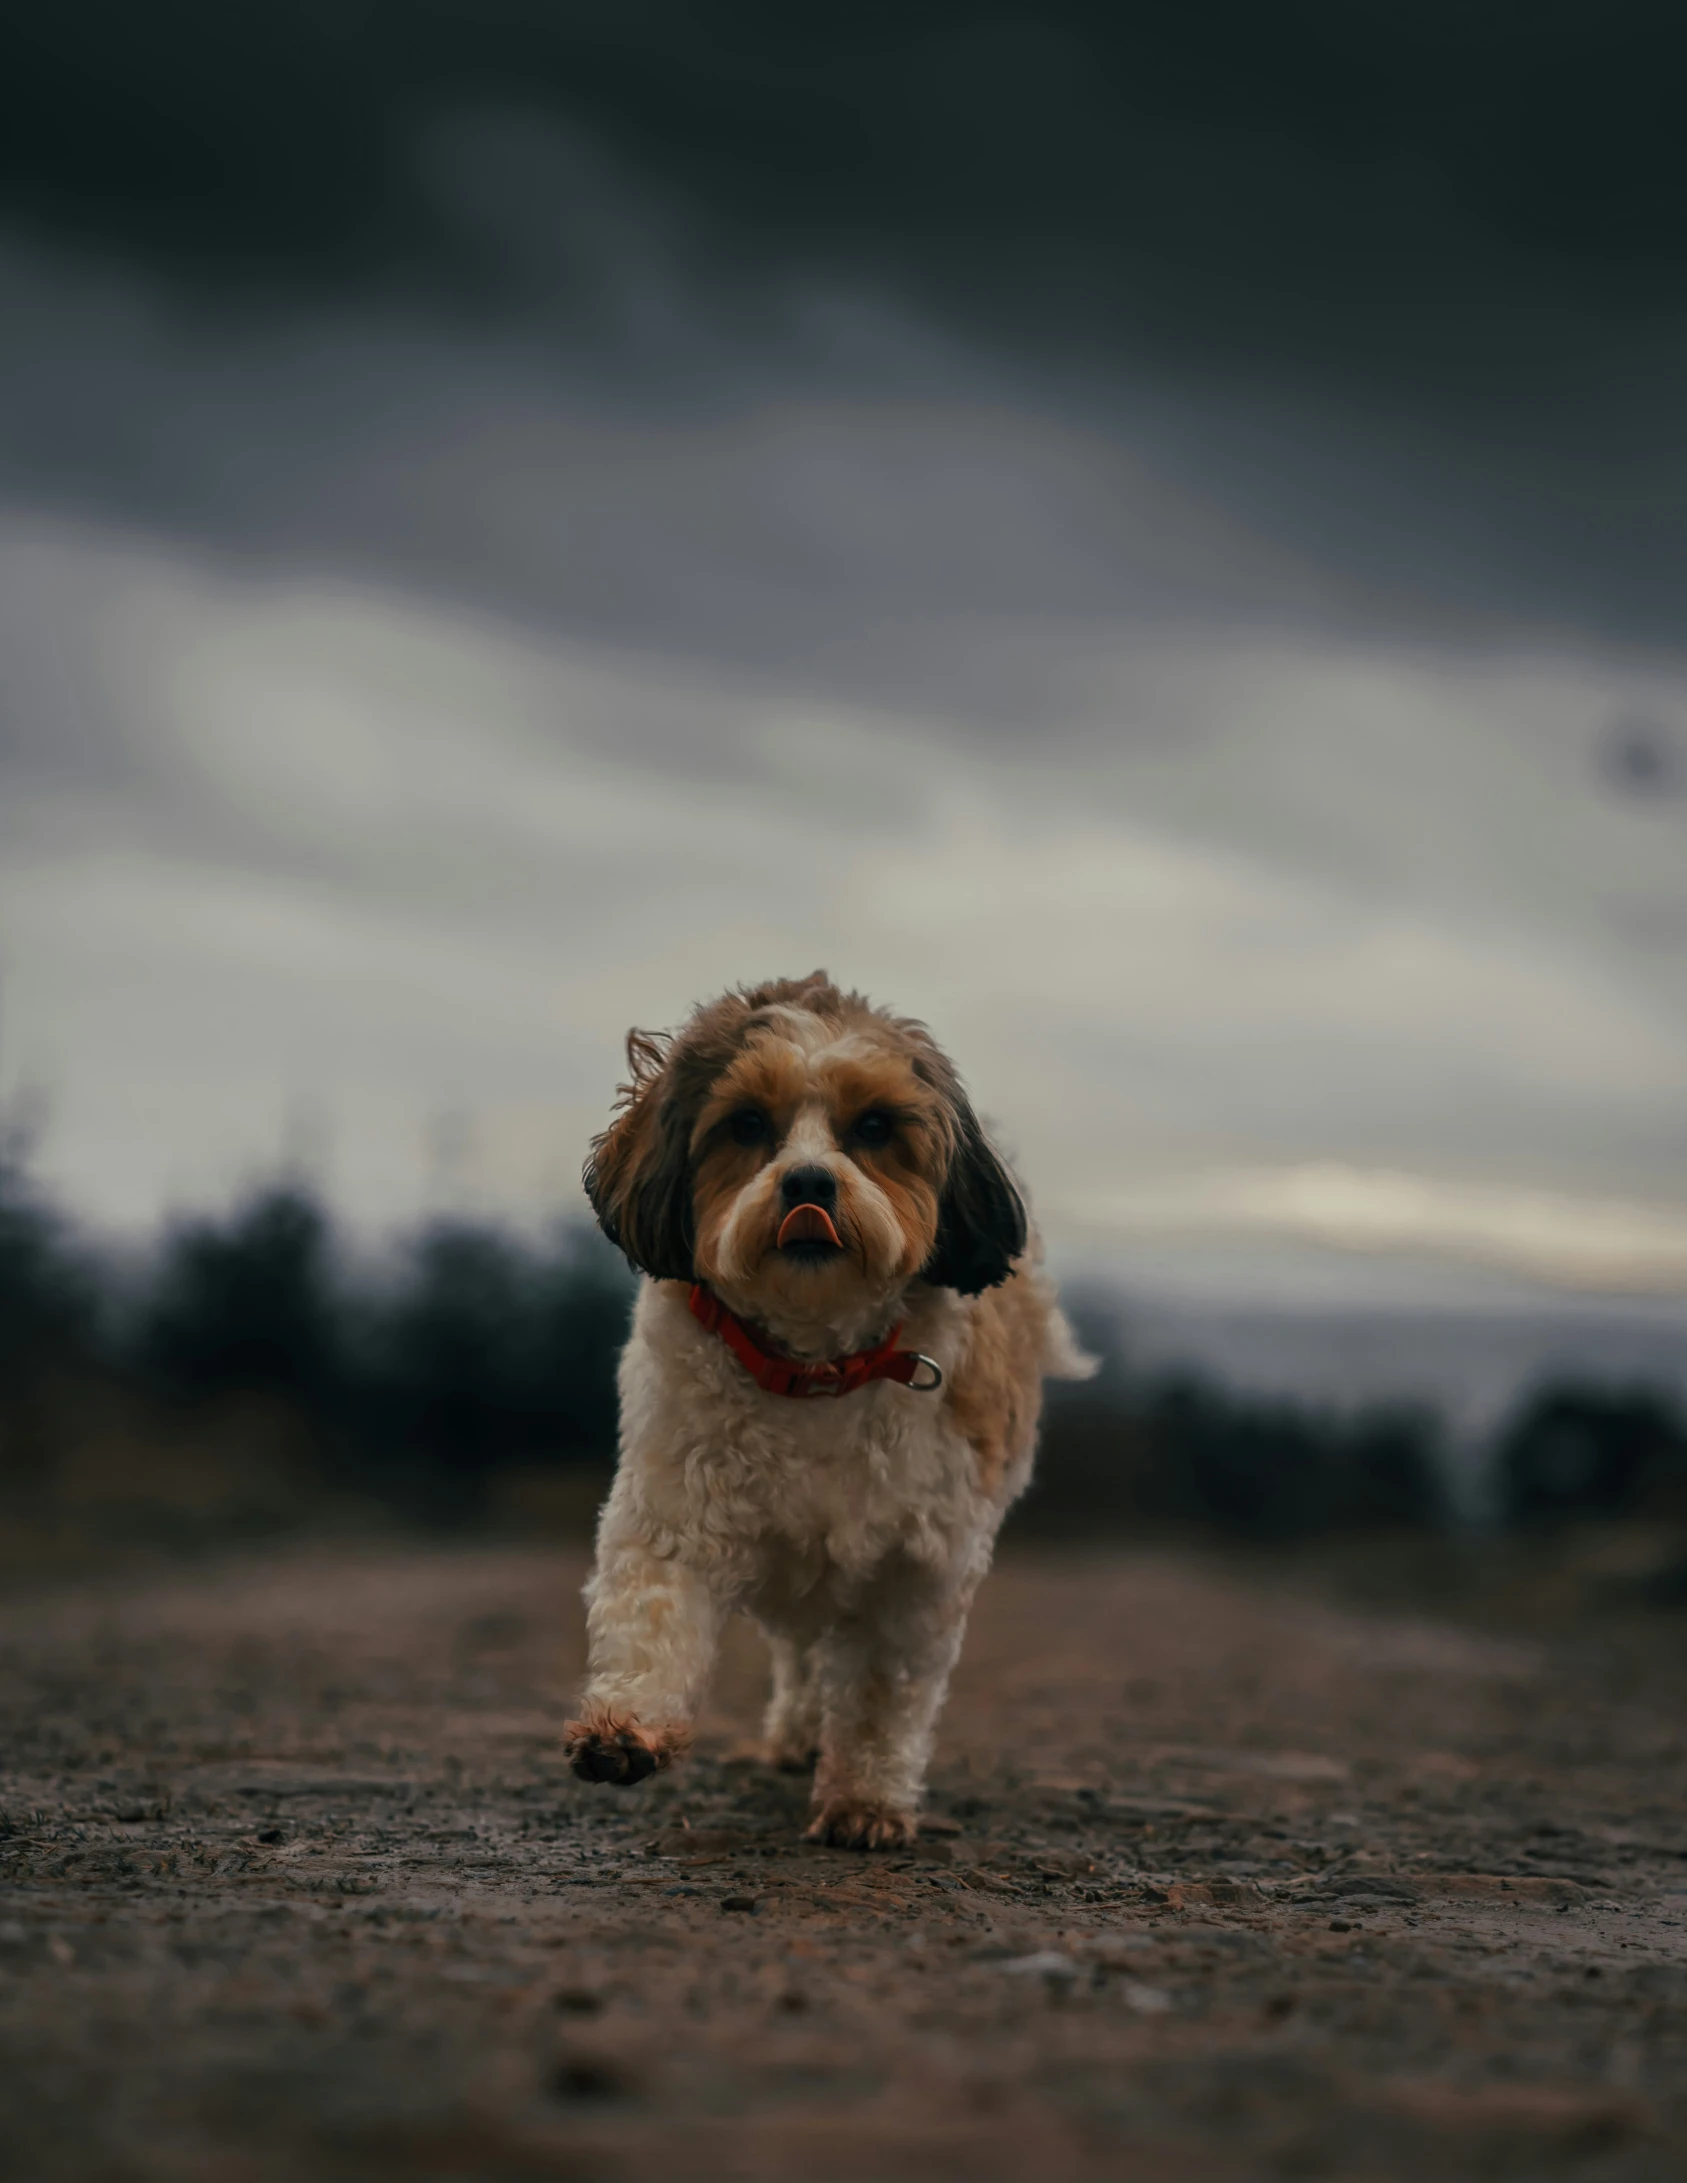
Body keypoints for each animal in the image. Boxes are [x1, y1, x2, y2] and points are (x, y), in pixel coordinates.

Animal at [567, 973, 1091, 1842]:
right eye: (747, 1123)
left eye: (873, 1127)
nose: (808, 1182)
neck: (813, 1365)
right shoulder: (675, 1507)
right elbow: (653, 1613)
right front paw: (625, 1728)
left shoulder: (914, 1571)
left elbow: (882, 1692)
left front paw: (864, 1801)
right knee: (802, 1652)